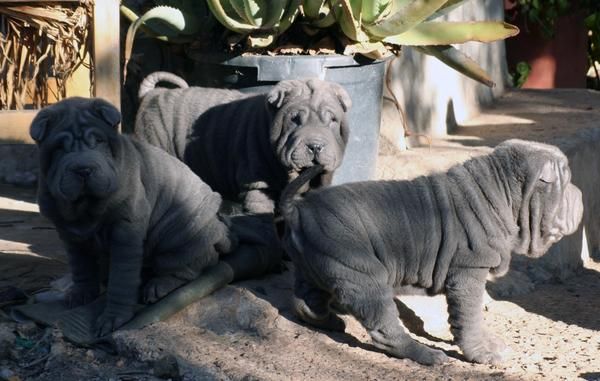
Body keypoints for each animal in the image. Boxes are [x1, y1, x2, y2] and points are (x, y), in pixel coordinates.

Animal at [31, 97, 237, 336]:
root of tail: (220, 232)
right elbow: (81, 267)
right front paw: (80, 294)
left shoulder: (126, 231)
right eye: (59, 148)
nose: (83, 169)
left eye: (99, 141)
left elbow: (122, 278)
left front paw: (112, 319)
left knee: (187, 268)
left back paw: (158, 287)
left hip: (178, 233)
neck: (86, 209)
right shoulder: (69, 234)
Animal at [278, 138, 584, 364]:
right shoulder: (470, 272)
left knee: (306, 301)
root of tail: (300, 210)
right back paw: (427, 356)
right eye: (565, 182)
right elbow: (470, 316)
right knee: (383, 326)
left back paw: (329, 321)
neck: (503, 192)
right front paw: (483, 353)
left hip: (316, 266)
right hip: (360, 273)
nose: (581, 196)